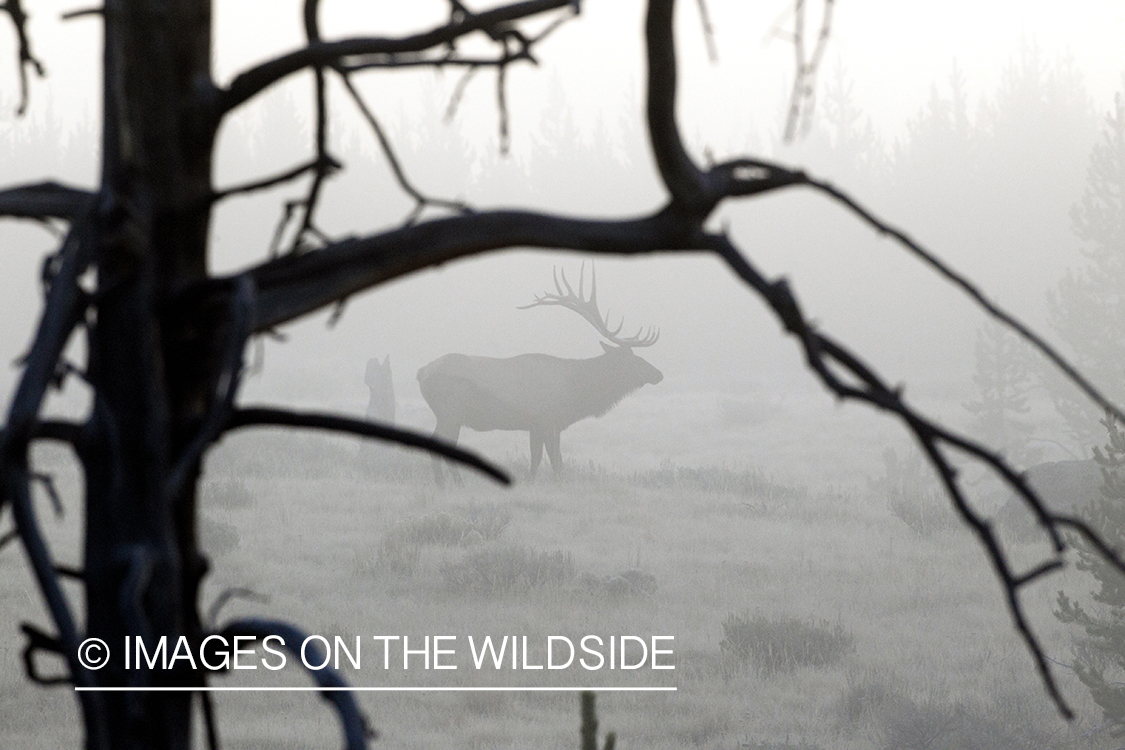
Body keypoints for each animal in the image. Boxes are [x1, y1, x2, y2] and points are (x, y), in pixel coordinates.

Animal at [420, 266, 661, 483]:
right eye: (632, 359)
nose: (659, 373)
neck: (577, 392)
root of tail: (420, 373)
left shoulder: (539, 425)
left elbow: (540, 460)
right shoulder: (547, 419)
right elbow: (553, 461)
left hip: (448, 415)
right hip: (449, 412)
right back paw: (451, 484)